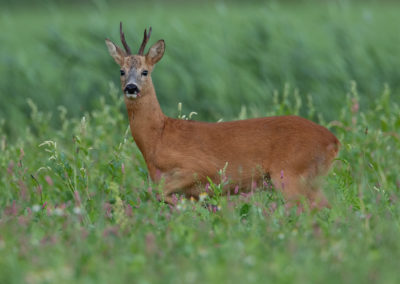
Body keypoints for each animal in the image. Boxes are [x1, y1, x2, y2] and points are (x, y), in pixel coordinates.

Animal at [104, 23, 340, 207]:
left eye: (145, 71)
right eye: (121, 71)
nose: (131, 88)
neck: (158, 138)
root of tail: (334, 141)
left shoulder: (199, 168)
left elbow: (158, 193)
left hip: (291, 173)